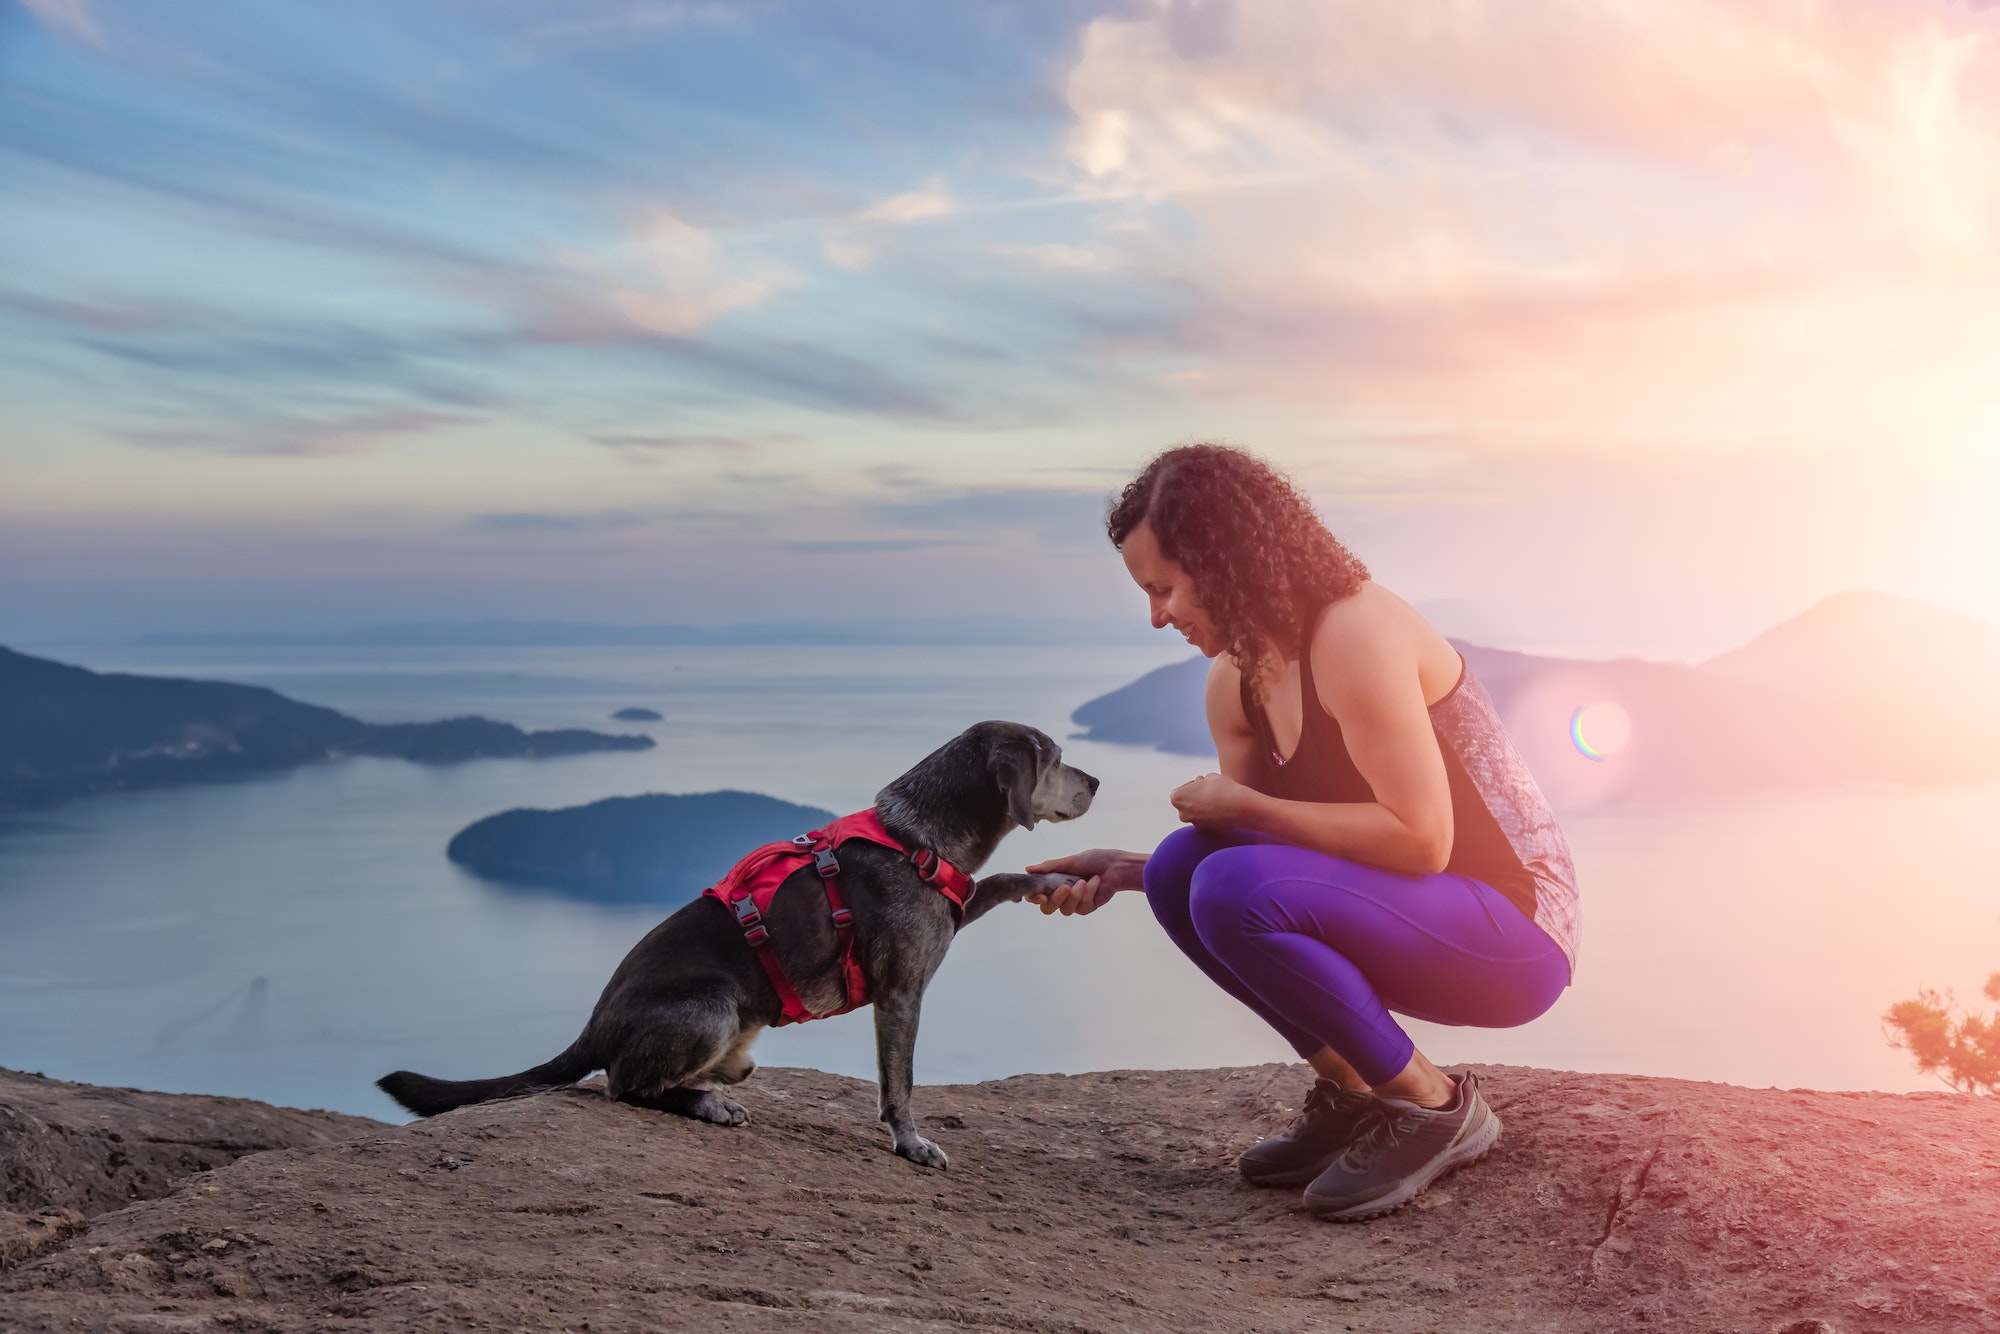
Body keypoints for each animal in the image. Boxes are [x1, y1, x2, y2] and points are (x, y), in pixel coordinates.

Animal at [376, 720, 1096, 1168]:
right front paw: (911, 1144)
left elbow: (1000, 881)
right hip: (712, 1008)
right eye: (1057, 759)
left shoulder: (957, 906)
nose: (1097, 783)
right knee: (625, 1086)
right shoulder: (901, 994)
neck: (916, 835)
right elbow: (902, 1084)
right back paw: (706, 1103)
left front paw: (1060, 879)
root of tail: (593, 1025)